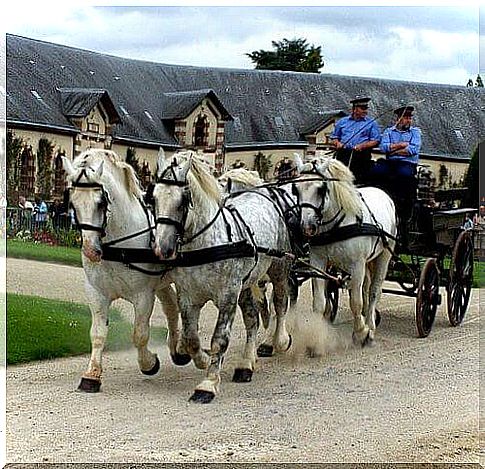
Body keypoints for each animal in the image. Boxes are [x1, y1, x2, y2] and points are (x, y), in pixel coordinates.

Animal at [61, 149, 189, 392]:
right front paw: (91, 375)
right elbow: (98, 334)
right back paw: (176, 349)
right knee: (171, 308)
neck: (118, 246)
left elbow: (140, 334)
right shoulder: (96, 293)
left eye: (101, 202)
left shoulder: (143, 295)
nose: (91, 251)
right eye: (73, 202)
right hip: (162, 282)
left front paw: (149, 363)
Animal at [151, 151, 292, 402]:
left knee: (280, 302)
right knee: (252, 319)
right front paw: (202, 360)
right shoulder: (188, 297)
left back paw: (278, 340)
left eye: (183, 200)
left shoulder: (227, 296)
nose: (162, 249)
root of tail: (262, 194)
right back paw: (246, 364)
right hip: (245, 286)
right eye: (154, 198)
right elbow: (191, 338)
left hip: (278, 269)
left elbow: (220, 339)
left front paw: (207, 384)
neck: (207, 243)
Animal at [294, 157, 396, 344]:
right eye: (295, 189)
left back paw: (370, 325)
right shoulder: (318, 262)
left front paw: (361, 332)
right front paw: (317, 335)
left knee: (374, 291)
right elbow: (319, 302)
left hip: (384, 255)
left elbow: (355, 302)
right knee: (367, 287)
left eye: (320, 189)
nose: (307, 227)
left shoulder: (357, 265)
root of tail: (382, 192)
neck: (337, 226)